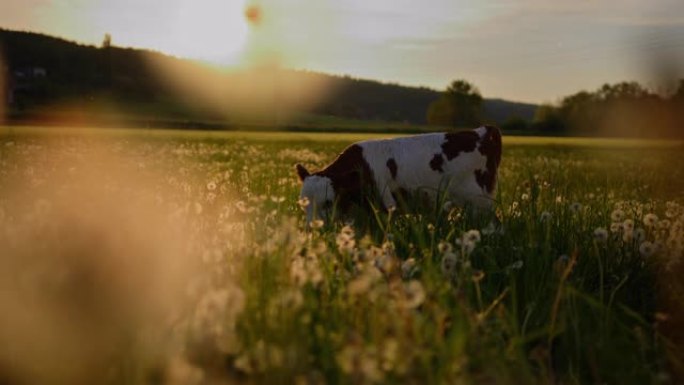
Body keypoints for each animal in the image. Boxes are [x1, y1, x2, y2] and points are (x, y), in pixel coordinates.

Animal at [296, 124, 502, 224]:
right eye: (302, 204)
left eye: (328, 202)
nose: (311, 229)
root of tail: (480, 131)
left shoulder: (387, 206)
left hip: (480, 202)